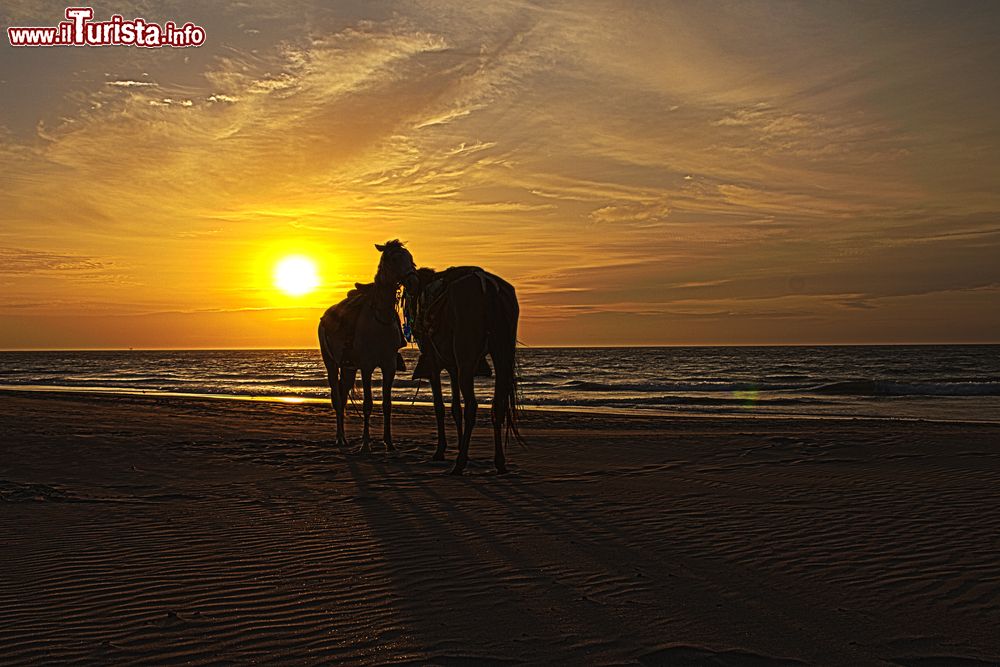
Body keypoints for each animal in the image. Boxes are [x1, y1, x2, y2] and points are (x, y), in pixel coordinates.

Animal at [318, 240, 416, 454]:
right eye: (393, 258)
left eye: (409, 256)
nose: (413, 279)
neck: (380, 318)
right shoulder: (367, 366)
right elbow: (368, 404)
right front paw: (365, 444)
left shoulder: (389, 366)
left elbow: (387, 404)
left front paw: (389, 443)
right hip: (332, 364)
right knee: (337, 398)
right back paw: (340, 439)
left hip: (348, 368)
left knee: (343, 396)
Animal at [400, 266, 524, 474]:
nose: (410, 325)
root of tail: (487, 284)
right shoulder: (453, 367)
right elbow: (456, 408)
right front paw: (458, 445)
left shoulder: (434, 365)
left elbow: (440, 406)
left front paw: (441, 451)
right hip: (501, 355)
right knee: (497, 405)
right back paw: (499, 461)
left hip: (466, 359)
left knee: (472, 406)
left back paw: (460, 463)